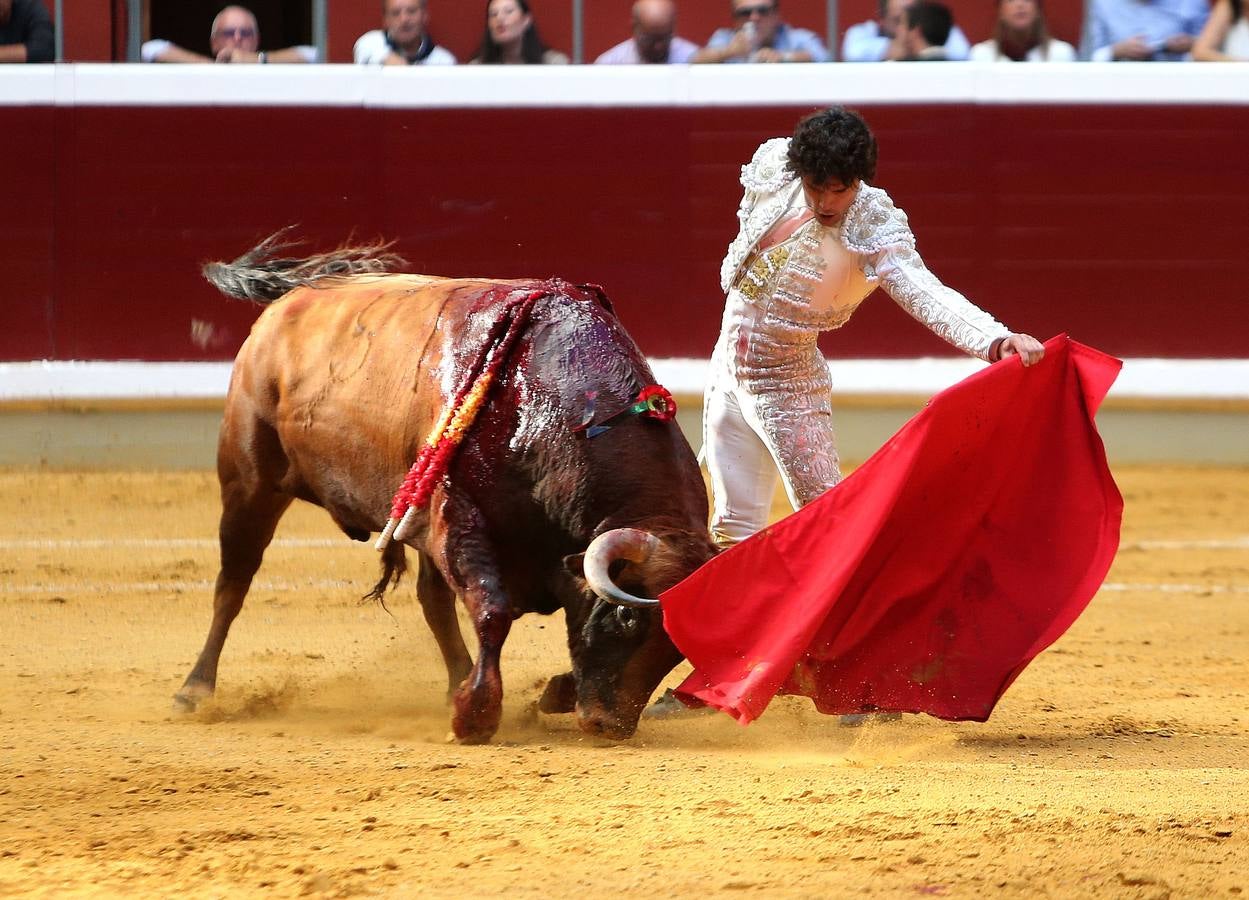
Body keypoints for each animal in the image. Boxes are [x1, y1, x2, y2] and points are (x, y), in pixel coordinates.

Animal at [179, 233, 719, 743]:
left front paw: (539, 694)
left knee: (431, 602)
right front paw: (474, 717)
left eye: (677, 647)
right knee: (234, 581)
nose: (610, 726)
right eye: (627, 619)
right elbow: (492, 611)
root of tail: (289, 299)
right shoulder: (458, 519)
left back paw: (457, 679)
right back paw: (195, 690)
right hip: (249, 481)